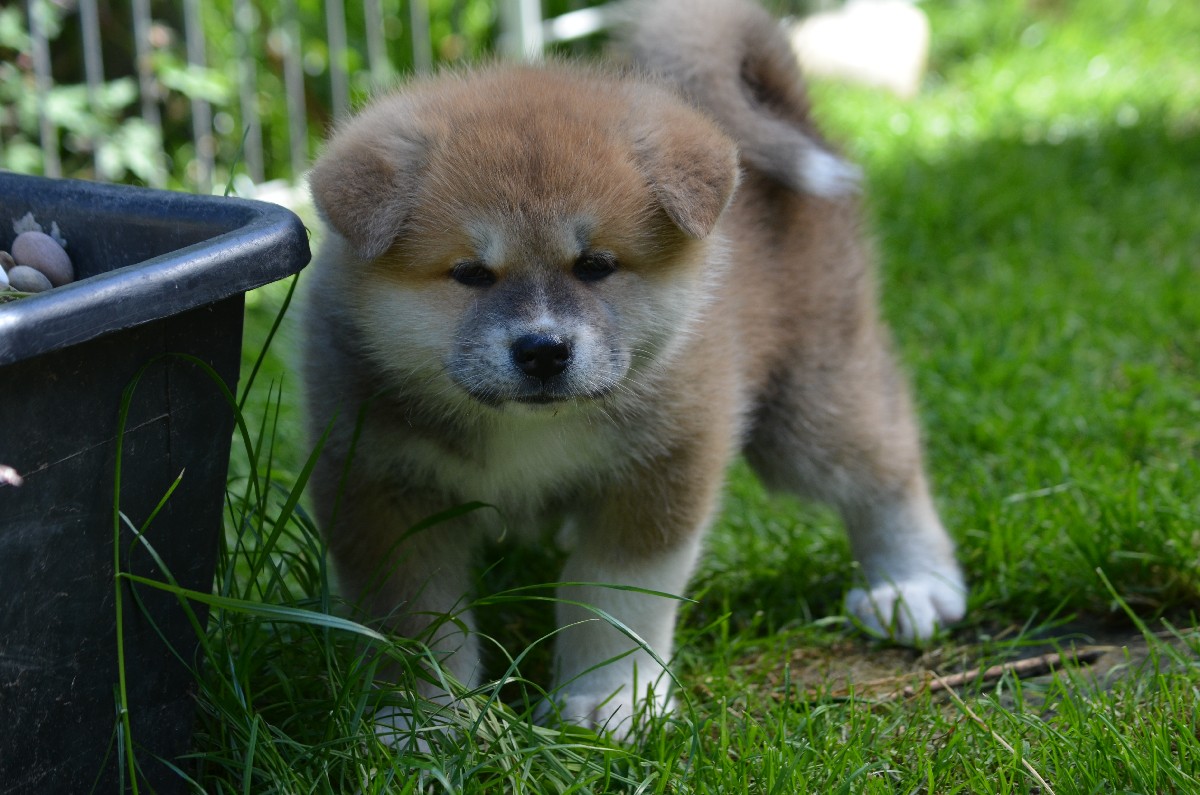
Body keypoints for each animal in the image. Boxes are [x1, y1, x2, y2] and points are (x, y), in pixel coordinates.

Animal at [302, 0, 965, 740]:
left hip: (810, 405)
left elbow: (611, 594)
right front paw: (425, 719)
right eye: (470, 273)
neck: (528, 430)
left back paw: (912, 587)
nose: (542, 350)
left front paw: (607, 698)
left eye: (595, 265)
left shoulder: (658, 468)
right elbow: (413, 621)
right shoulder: (379, 485)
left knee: (886, 469)